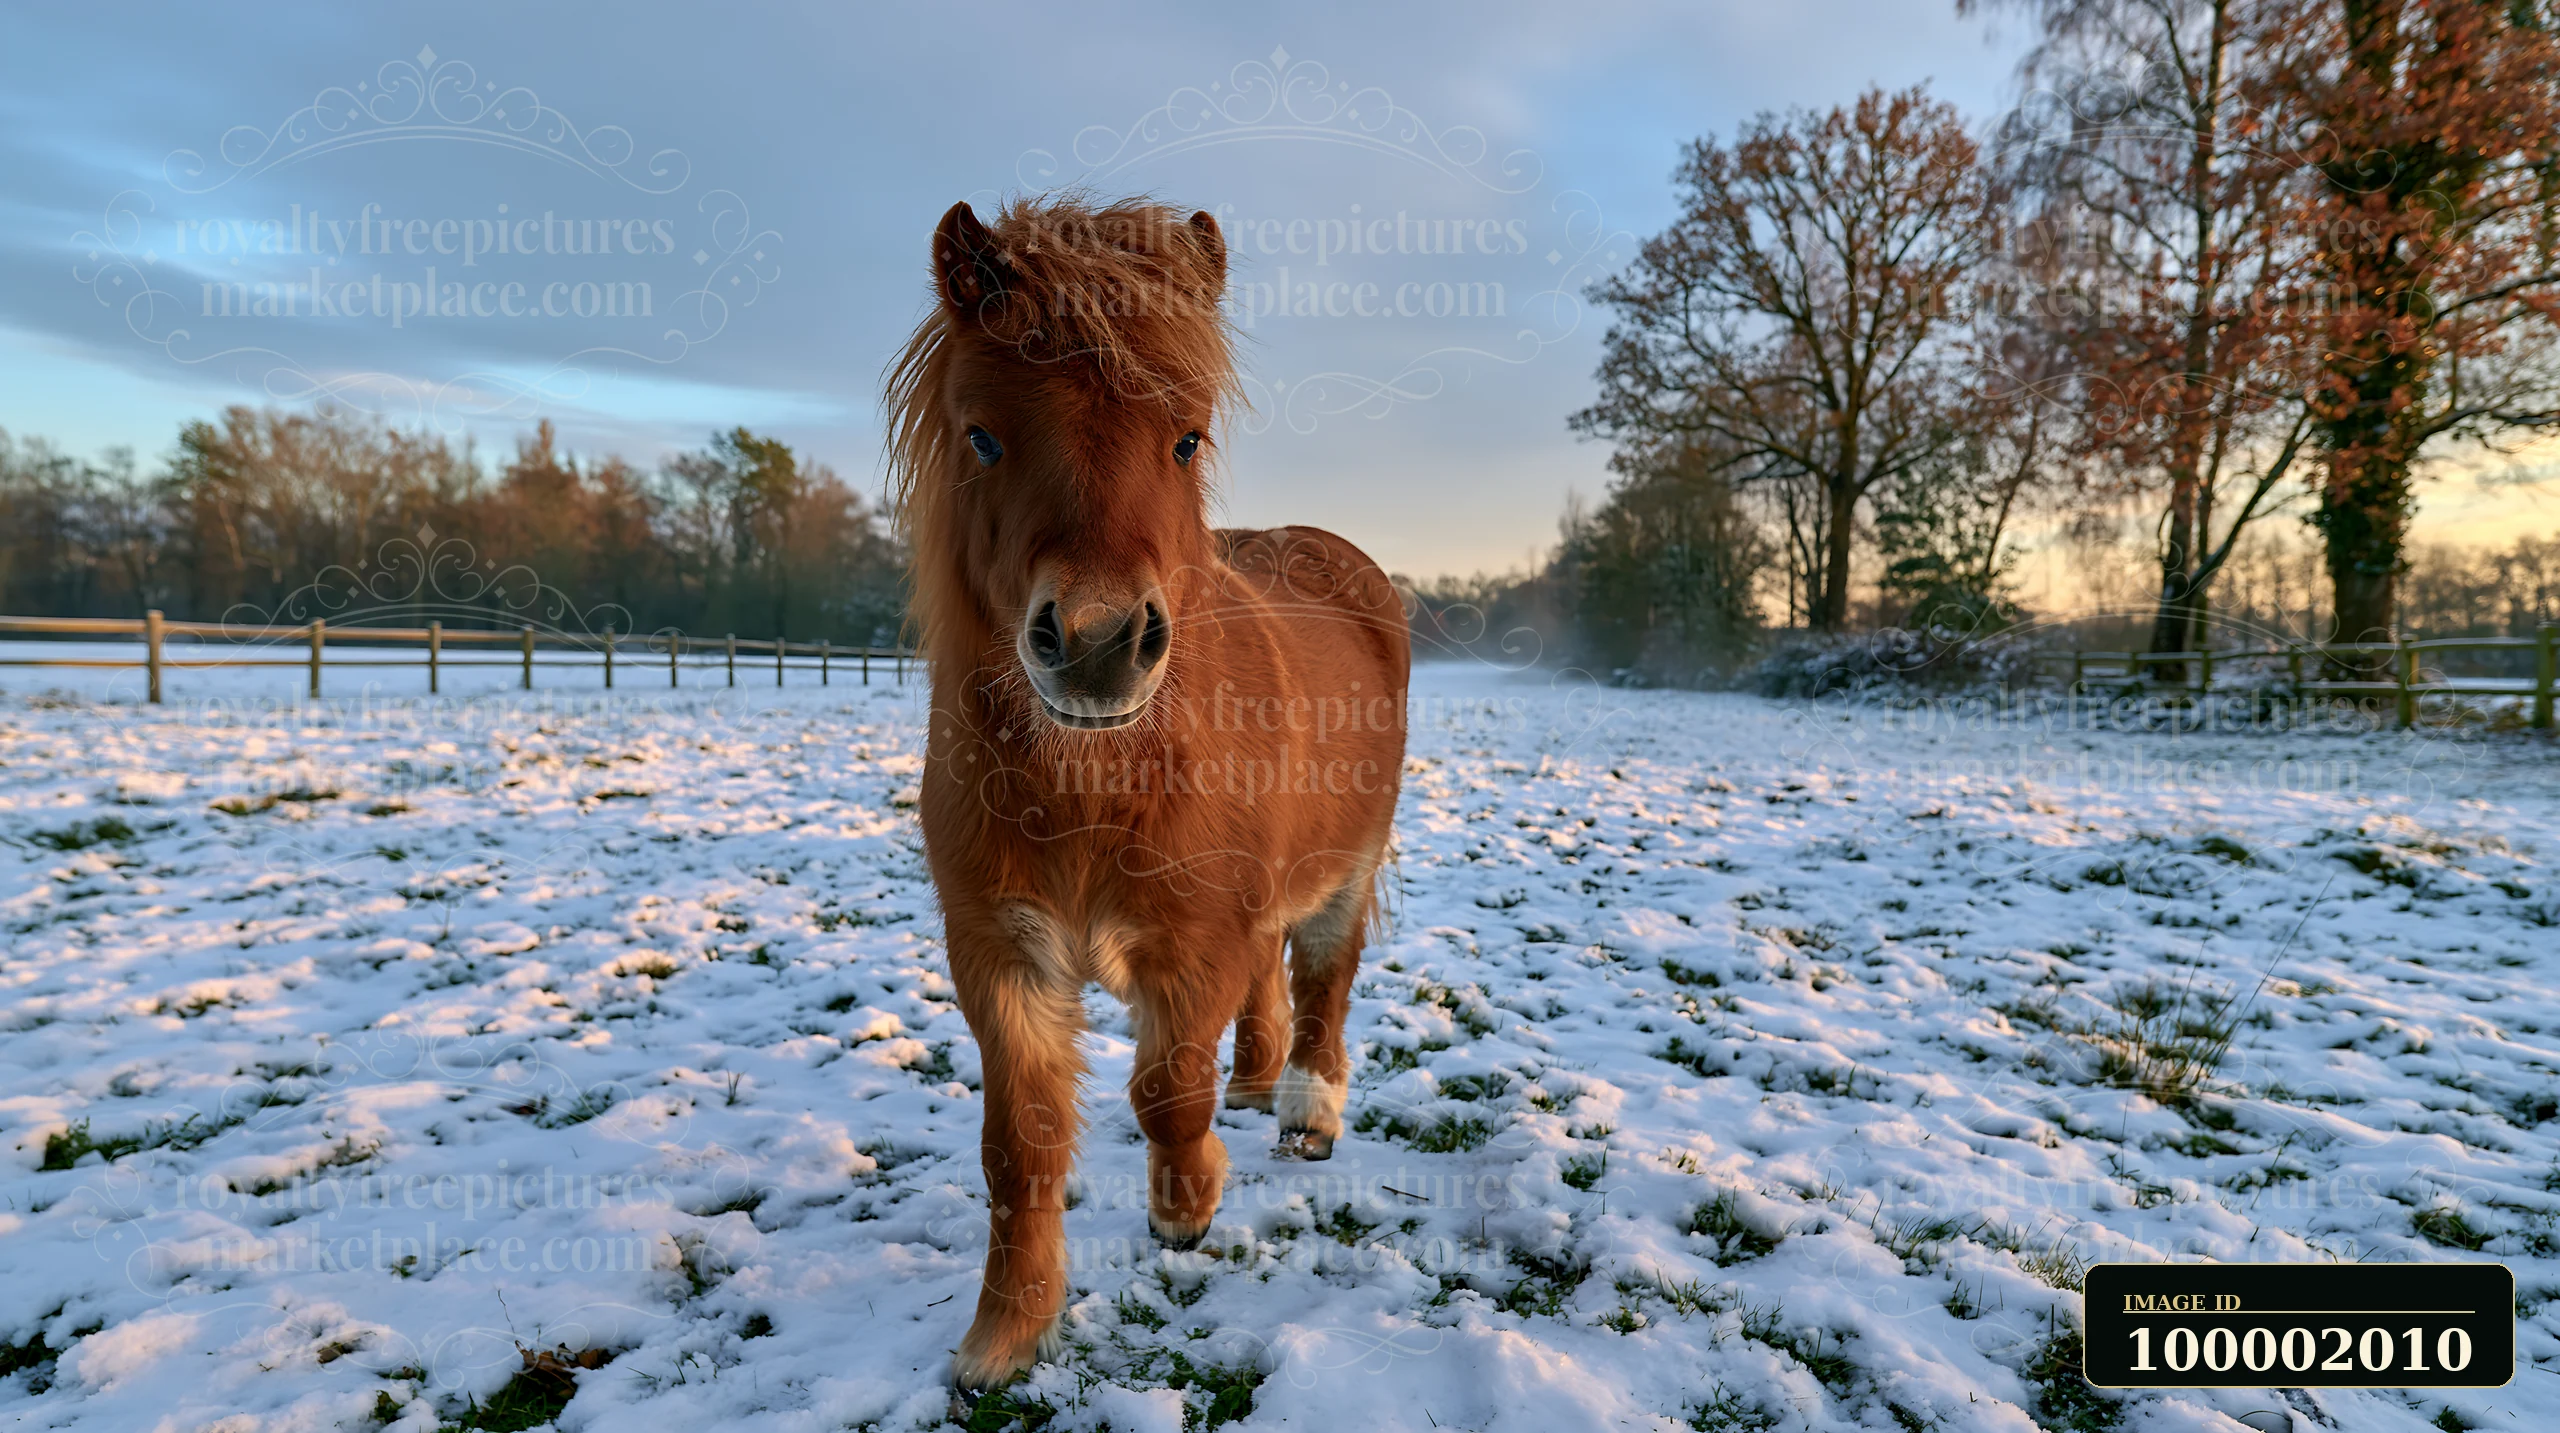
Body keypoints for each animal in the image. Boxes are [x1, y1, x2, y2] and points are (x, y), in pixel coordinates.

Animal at [884, 195, 1411, 1390]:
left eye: (1187, 437)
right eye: (982, 435)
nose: (1096, 642)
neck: (1094, 785)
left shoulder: (1193, 942)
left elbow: (1168, 1090)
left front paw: (1188, 1207)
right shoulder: (1000, 952)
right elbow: (1020, 1144)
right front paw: (1005, 1333)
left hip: (1344, 872)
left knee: (1323, 980)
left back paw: (1305, 1111)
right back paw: (1259, 1085)